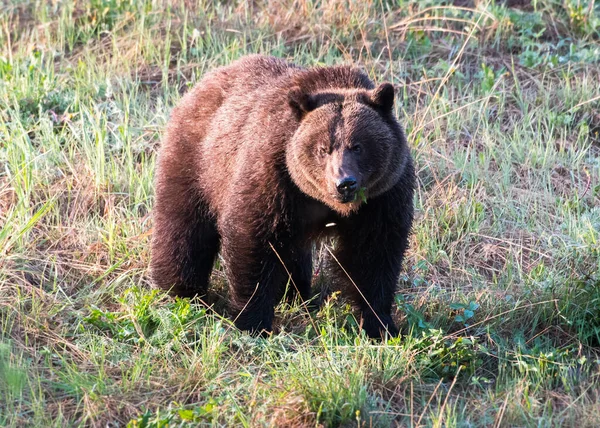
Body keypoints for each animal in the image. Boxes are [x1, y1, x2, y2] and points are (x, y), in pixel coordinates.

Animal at [150, 55, 414, 340]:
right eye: (323, 148)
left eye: (358, 146)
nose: (345, 184)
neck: (324, 202)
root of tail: (204, 81)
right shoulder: (273, 177)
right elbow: (254, 241)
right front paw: (252, 322)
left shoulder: (382, 197)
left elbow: (373, 255)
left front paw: (380, 325)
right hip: (198, 163)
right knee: (184, 230)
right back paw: (180, 292)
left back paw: (296, 294)